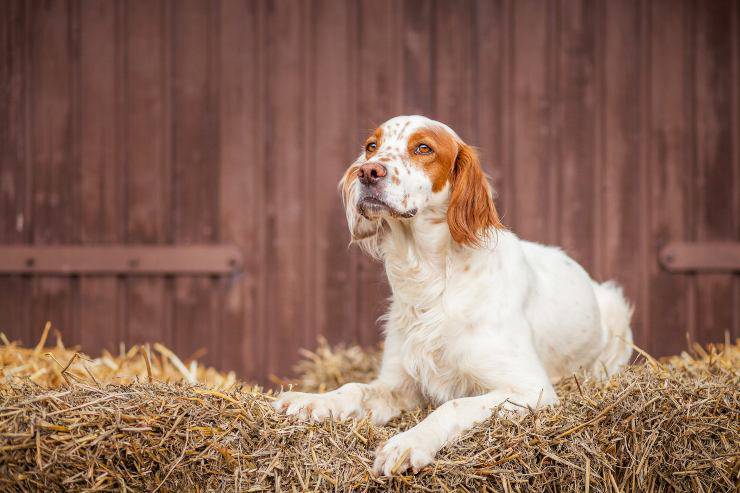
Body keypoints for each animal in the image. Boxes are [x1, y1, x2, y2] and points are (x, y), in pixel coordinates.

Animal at [274, 113, 632, 474]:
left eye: (423, 148)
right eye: (371, 146)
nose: (367, 171)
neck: (431, 279)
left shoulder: (531, 388)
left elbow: (453, 405)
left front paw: (408, 443)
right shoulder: (398, 385)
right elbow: (354, 388)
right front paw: (310, 400)